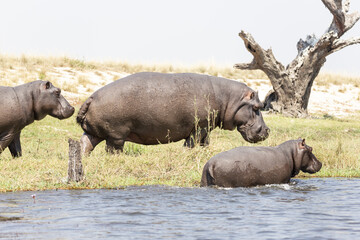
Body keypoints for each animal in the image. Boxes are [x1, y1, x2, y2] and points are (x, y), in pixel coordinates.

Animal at [78, 71, 270, 154]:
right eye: (256, 107)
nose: (267, 130)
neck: (229, 99)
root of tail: (91, 97)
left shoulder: (206, 128)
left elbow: (205, 143)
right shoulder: (198, 127)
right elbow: (191, 143)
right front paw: (187, 154)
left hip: (95, 132)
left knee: (85, 145)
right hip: (116, 135)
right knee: (112, 149)